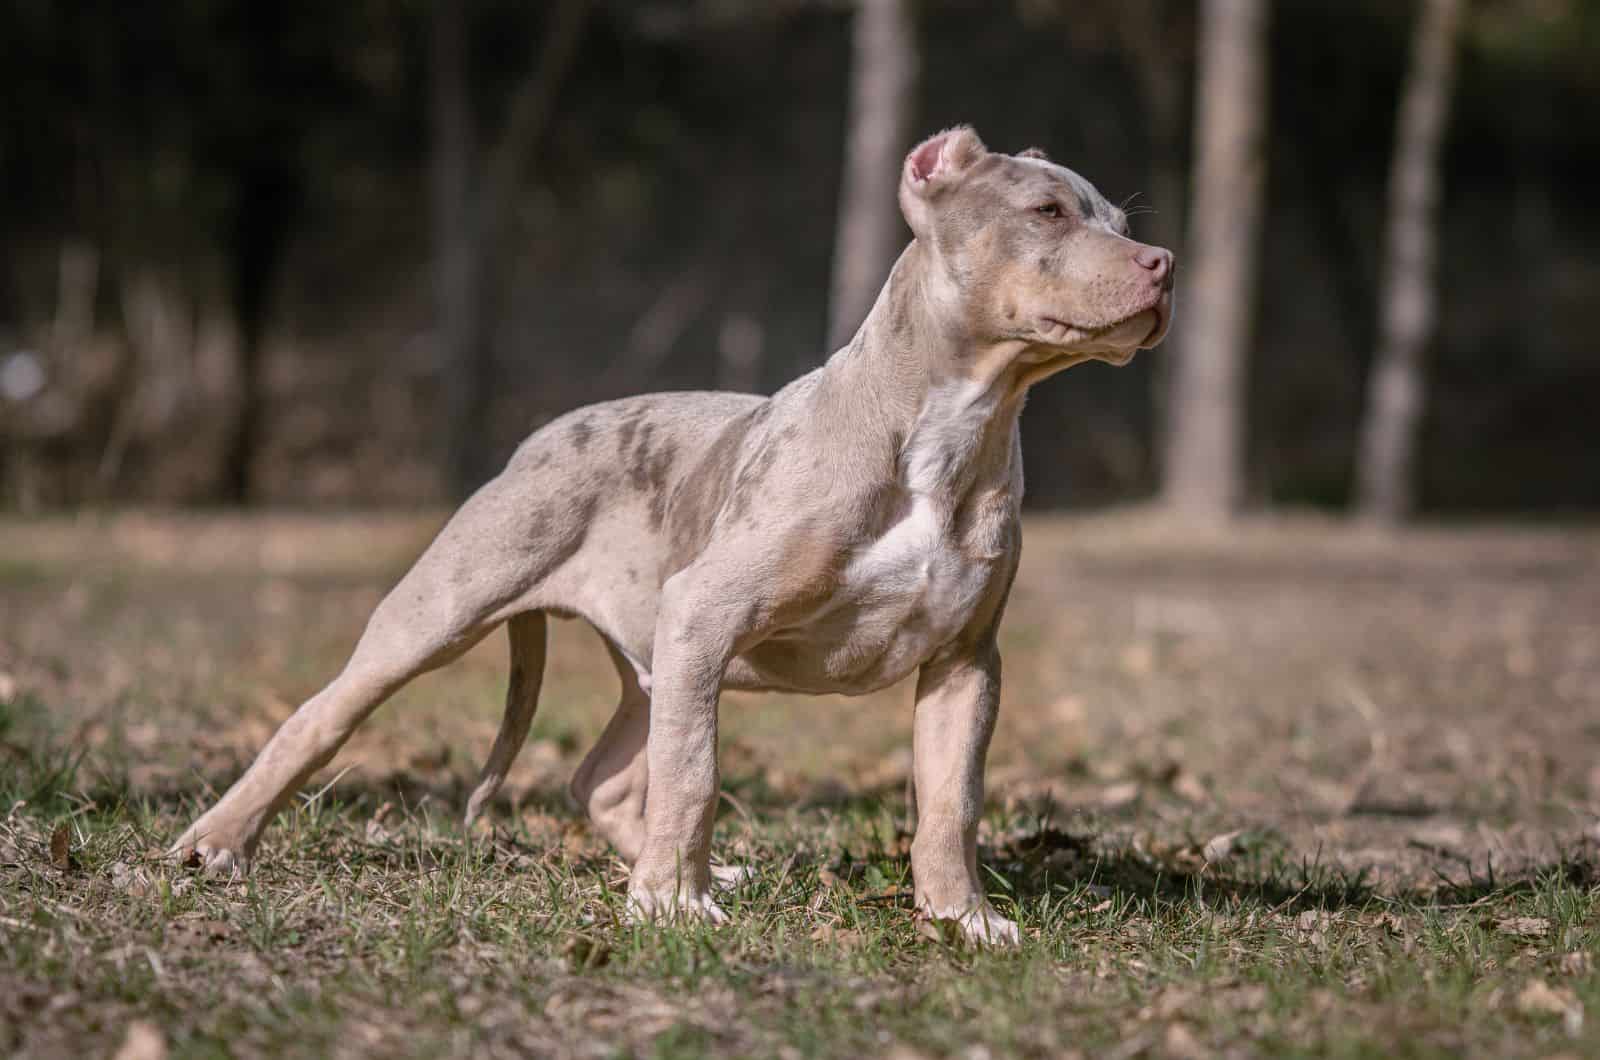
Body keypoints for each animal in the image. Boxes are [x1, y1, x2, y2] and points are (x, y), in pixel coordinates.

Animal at [175, 126, 1177, 947]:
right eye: (1046, 211)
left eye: (1118, 219)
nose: (1164, 260)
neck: (959, 422)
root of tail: (541, 435)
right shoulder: (709, 610)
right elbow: (694, 774)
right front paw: (669, 906)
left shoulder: (965, 660)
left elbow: (949, 803)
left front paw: (960, 919)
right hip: (448, 611)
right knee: (322, 716)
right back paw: (214, 844)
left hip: (653, 657)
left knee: (604, 778)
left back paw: (690, 865)